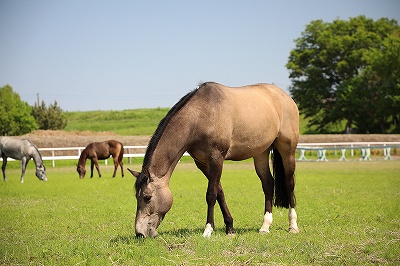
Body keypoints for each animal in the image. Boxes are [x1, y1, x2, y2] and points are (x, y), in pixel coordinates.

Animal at [128, 82, 300, 238]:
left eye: (147, 197)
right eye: (136, 197)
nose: (139, 233)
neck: (201, 115)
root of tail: (285, 97)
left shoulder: (216, 159)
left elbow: (211, 194)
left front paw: (208, 229)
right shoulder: (203, 164)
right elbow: (219, 193)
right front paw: (230, 228)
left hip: (288, 151)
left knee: (289, 183)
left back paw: (293, 225)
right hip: (261, 153)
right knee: (268, 184)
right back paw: (265, 226)